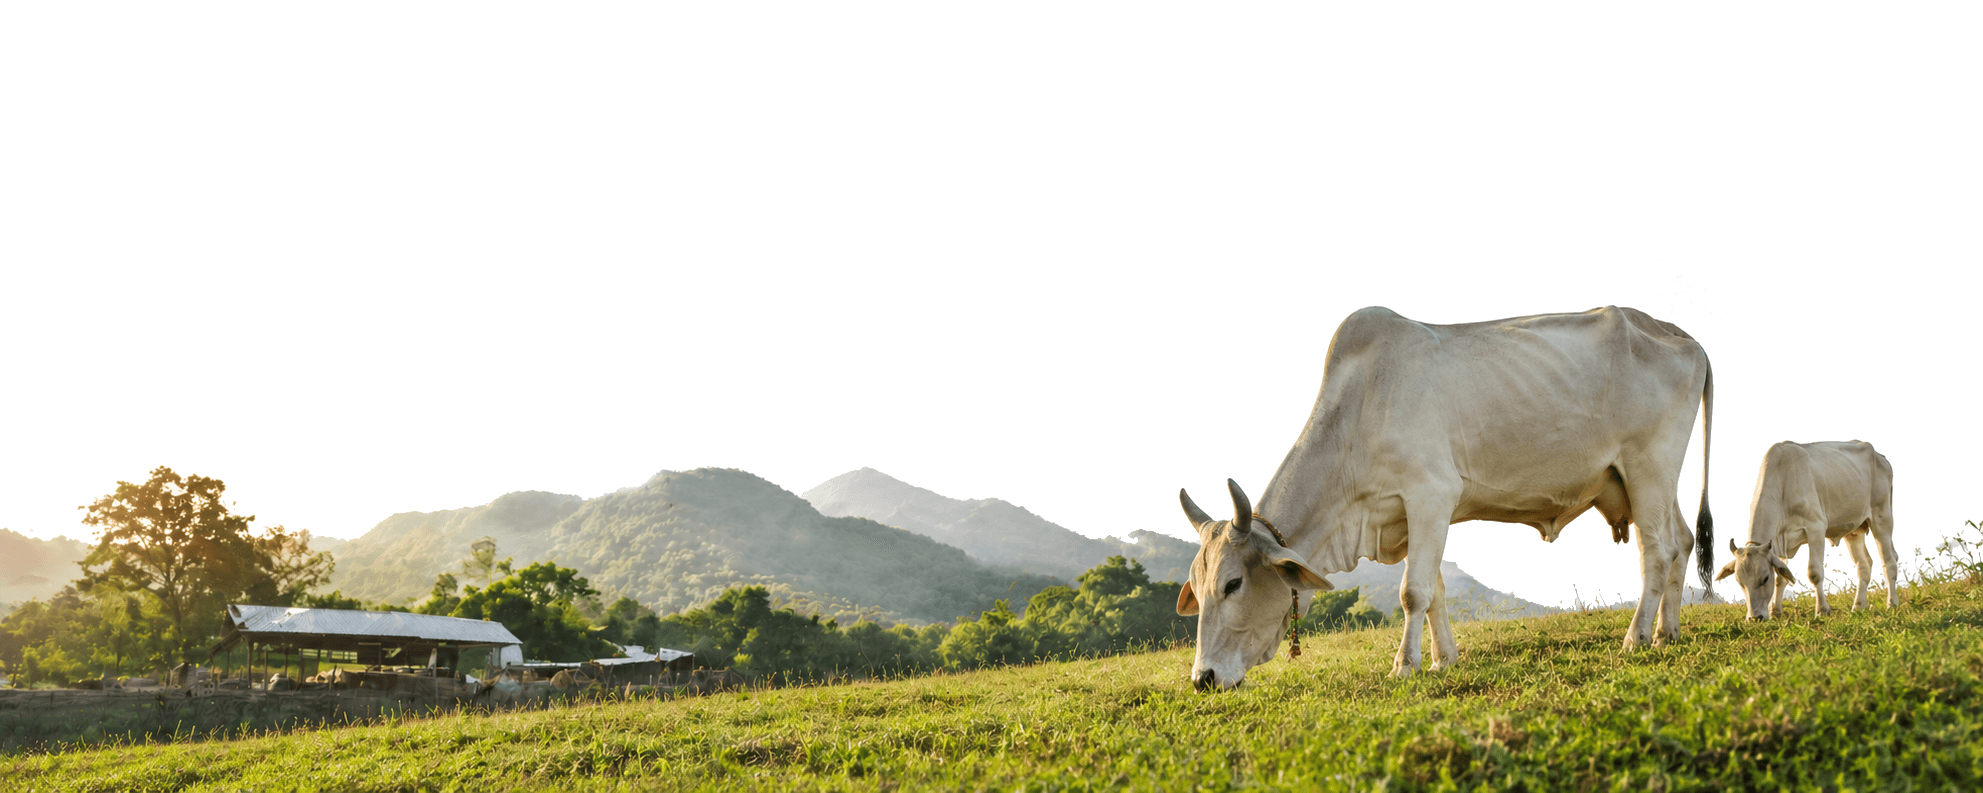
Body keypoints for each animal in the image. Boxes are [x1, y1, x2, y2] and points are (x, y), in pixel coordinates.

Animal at [1177, 305, 1714, 689]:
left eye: (1232, 584)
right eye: (1197, 589)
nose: (1203, 678)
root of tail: (1680, 336)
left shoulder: (1430, 494)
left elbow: (1412, 593)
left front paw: (1403, 665)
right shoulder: (1412, 517)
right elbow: (1433, 592)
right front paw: (1442, 660)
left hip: (1649, 468)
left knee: (1658, 553)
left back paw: (1638, 636)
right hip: (1652, 483)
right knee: (1682, 543)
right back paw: (1668, 632)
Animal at [1716, 440, 1897, 620]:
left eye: (1765, 578)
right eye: (1740, 582)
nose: (1755, 618)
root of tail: (1880, 457)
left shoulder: (1816, 528)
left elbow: (1815, 573)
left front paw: (1822, 610)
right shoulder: (1778, 544)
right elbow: (1781, 577)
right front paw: (1776, 611)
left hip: (1882, 519)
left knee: (1889, 562)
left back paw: (1892, 604)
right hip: (1854, 531)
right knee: (1864, 565)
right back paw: (1859, 606)